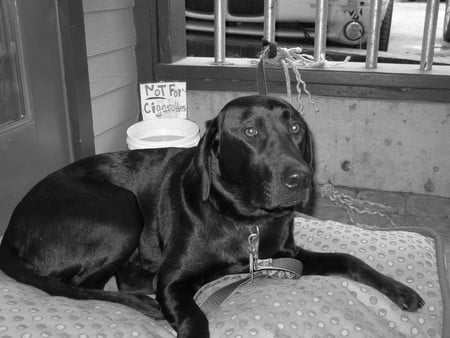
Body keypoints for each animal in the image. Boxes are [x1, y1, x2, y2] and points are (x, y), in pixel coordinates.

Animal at [0, 95, 422, 338]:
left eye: (296, 127)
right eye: (250, 131)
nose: (300, 178)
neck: (245, 220)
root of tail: (10, 229)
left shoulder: (287, 255)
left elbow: (350, 259)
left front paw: (400, 290)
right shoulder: (173, 281)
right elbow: (195, 317)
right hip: (121, 209)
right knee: (80, 286)